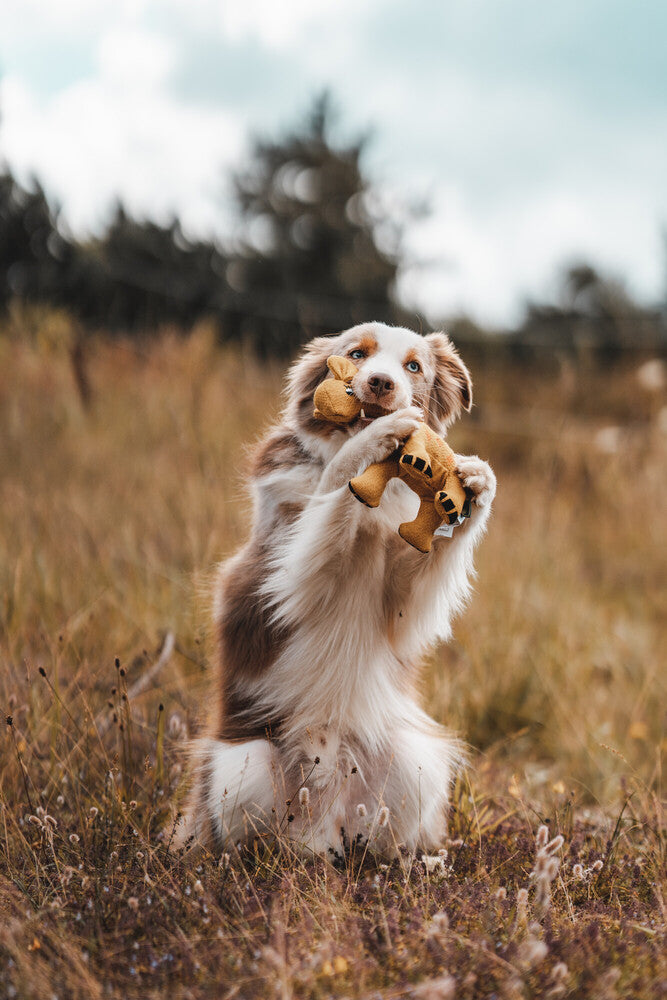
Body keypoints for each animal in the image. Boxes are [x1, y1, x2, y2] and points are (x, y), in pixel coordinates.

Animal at [175, 322, 498, 860]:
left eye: (414, 367)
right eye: (357, 354)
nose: (381, 384)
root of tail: (321, 827)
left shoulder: (402, 604)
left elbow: (427, 569)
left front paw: (476, 485)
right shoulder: (285, 573)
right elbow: (333, 486)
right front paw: (368, 442)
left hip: (414, 762)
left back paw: (413, 860)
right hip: (245, 765)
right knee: (252, 837)